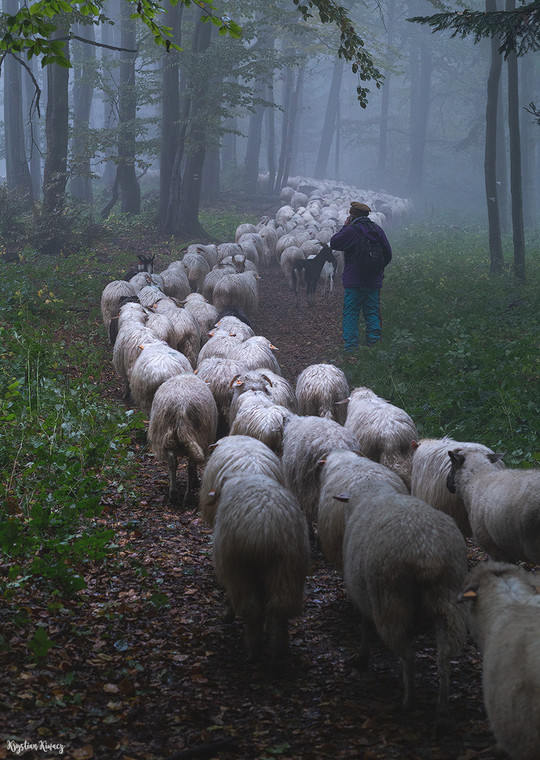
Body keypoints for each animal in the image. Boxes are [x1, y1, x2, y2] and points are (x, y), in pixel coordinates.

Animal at [149, 372, 218, 508]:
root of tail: (181, 409)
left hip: (165, 435)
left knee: (172, 462)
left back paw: (173, 493)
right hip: (199, 435)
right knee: (190, 467)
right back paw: (187, 497)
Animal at [212, 472, 310, 664]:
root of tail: (263, 530)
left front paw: (227, 615)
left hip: (240, 569)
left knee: (251, 609)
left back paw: (253, 649)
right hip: (285, 568)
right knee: (278, 609)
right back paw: (278, 651)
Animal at [344, 480, 470, 724]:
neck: (372, 495)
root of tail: (427, 553)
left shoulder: (363, 595)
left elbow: (365, 625)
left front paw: (361, 658)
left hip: (391, 603)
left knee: (409, 658)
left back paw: (408, 702)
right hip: (448, 603)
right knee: (444, 658)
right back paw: (442, 708)